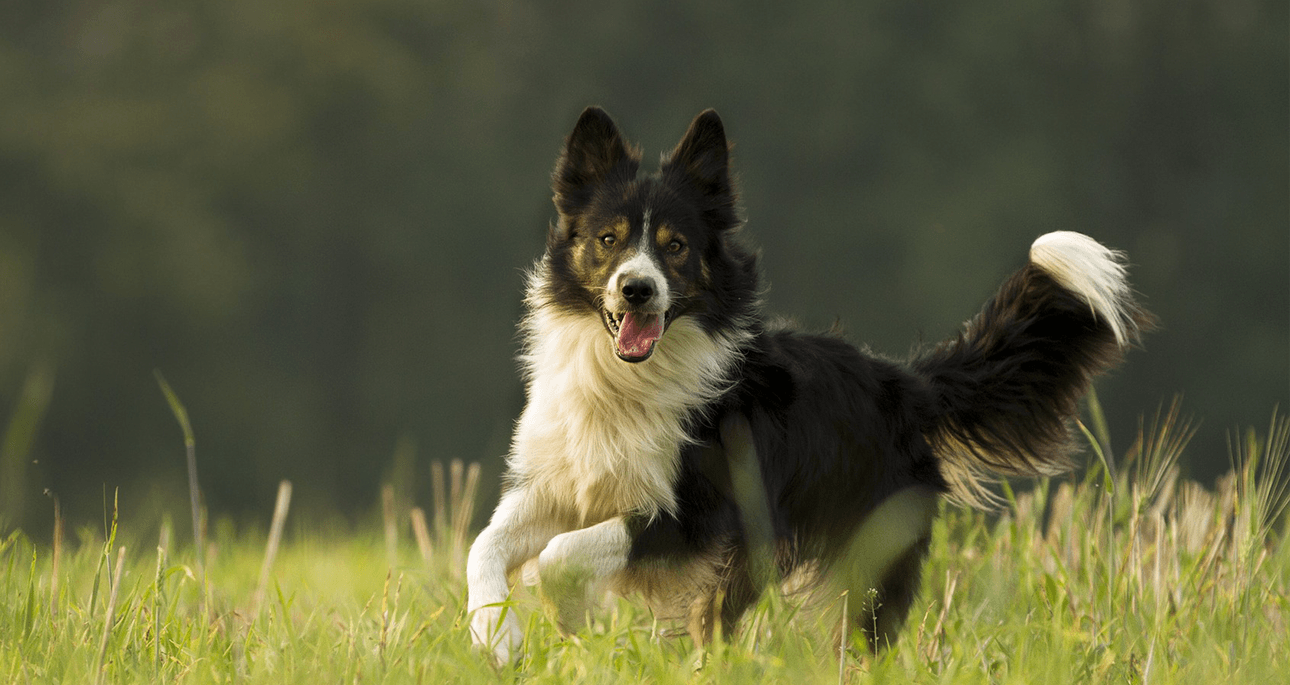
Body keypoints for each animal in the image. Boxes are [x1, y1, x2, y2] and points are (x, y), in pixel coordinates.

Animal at [464, 108, 1150, 665]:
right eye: (608, 239)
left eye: (676, 247)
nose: (637, 289)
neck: (627, 380)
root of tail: (904, 382)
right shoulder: (560, 483)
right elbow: (485, 545)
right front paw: (496, 640)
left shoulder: (697, 512)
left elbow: (561, 555)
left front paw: (569, 619)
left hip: (849, 552)